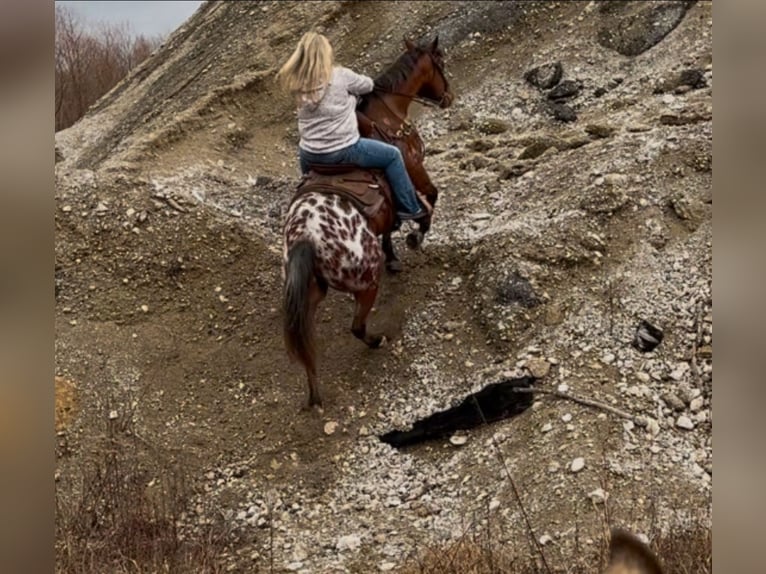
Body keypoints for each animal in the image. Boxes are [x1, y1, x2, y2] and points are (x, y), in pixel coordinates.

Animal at [286, 36, 456, 408]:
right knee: (357, 327)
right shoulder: (411, 168)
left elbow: (389, 229)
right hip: (365, 282)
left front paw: (394, 255)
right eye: (440, 61)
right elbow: (429, 200)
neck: (386, 114)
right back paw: (379, 340)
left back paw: (314, 395)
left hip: (311, 295)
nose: (448, 97)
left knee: (306, 346)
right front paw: (416, 236)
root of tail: (306, 236)